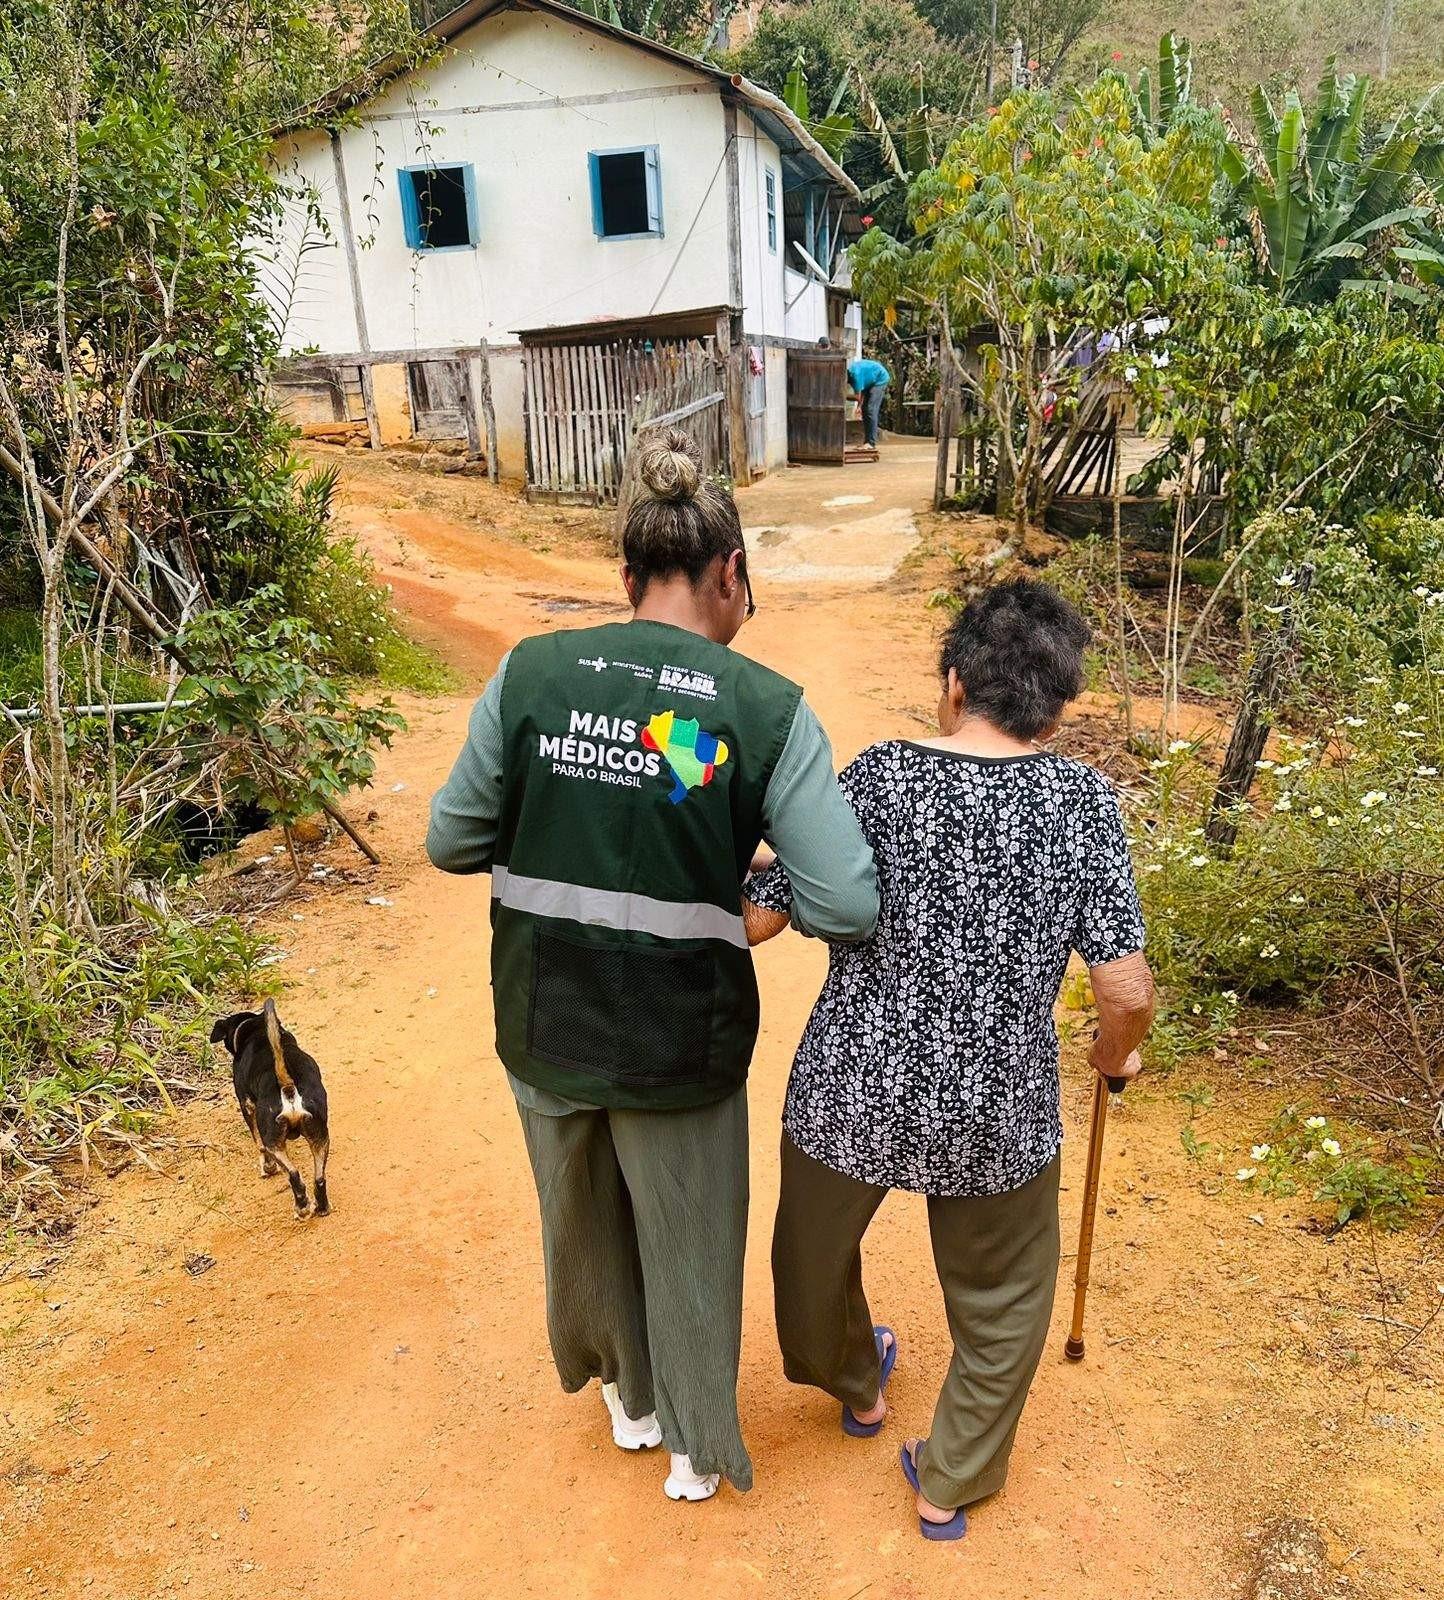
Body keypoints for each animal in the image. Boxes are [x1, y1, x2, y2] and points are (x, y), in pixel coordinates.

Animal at [211, 992, 331, 1216]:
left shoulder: (246, 1105)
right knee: (319, 1178)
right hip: (321, 1136)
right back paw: (321, 1207)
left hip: (273, 1139)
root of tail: (289, 1088)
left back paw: (302, 1207)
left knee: (293, 1174)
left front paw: (267, 1168)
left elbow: (258, 1144)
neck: (255, 1029)